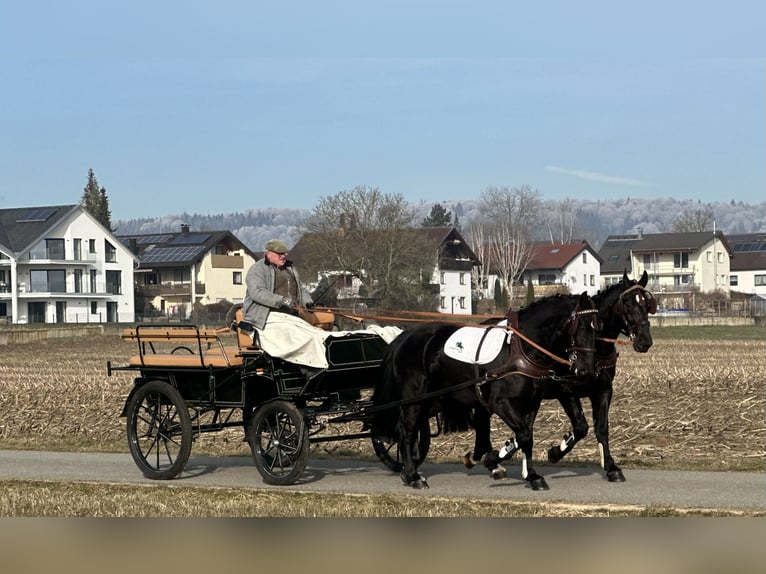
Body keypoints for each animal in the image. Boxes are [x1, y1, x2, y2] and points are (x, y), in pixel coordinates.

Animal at [372, 292, 608, 490]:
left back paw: (408, 471)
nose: (586, 370)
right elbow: (524, 436)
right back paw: (413, 476)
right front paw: (503, 464)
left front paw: (527, 473)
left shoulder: (531, 402)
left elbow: (526, 436)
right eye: (579, 327)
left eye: (598, 328)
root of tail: (405, 336)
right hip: (414, 399)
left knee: (408, 430)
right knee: (406, 431)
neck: (520, 347)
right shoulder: (500, 403)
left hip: (433, 401)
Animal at [464, 272, 656, 484]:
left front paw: (611, 467)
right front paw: (555, 452)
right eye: (628, 304)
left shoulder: (603, 389)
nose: (645, 341)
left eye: (647, 304)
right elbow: (580, 427)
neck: (594, 349)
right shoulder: (565, 391)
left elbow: (601, 428)